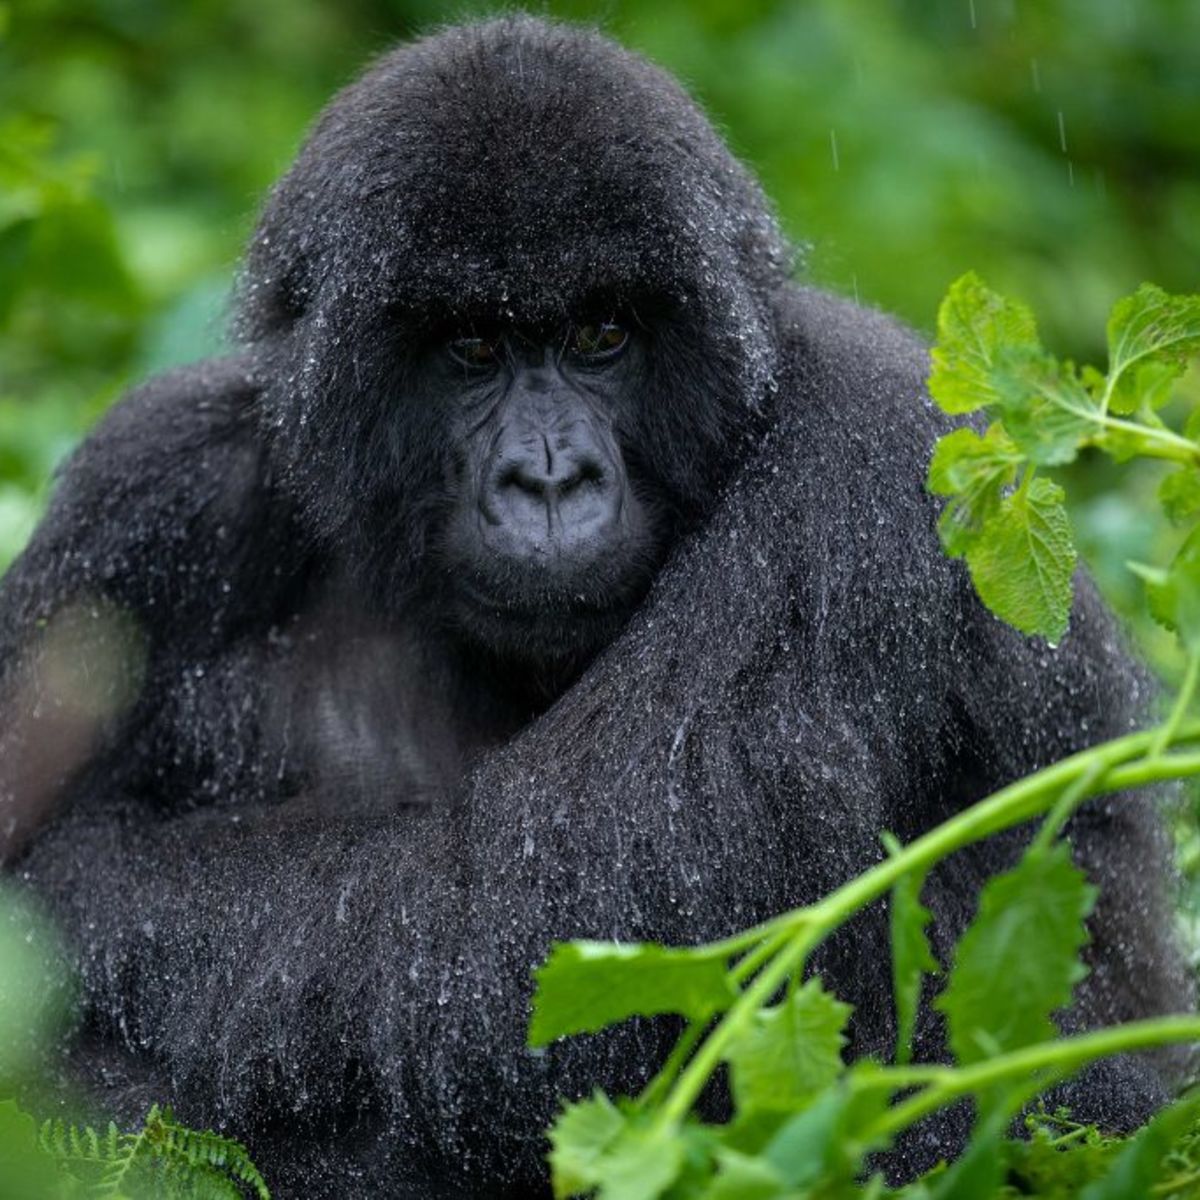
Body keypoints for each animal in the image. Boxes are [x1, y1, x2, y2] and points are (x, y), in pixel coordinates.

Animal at [0, 16, 1190, 1200]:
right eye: (473, 346)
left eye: (603, 335)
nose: (550, 478)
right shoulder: (148, 491)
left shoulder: (861, 458)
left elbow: (519, 942)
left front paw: (74, 901)